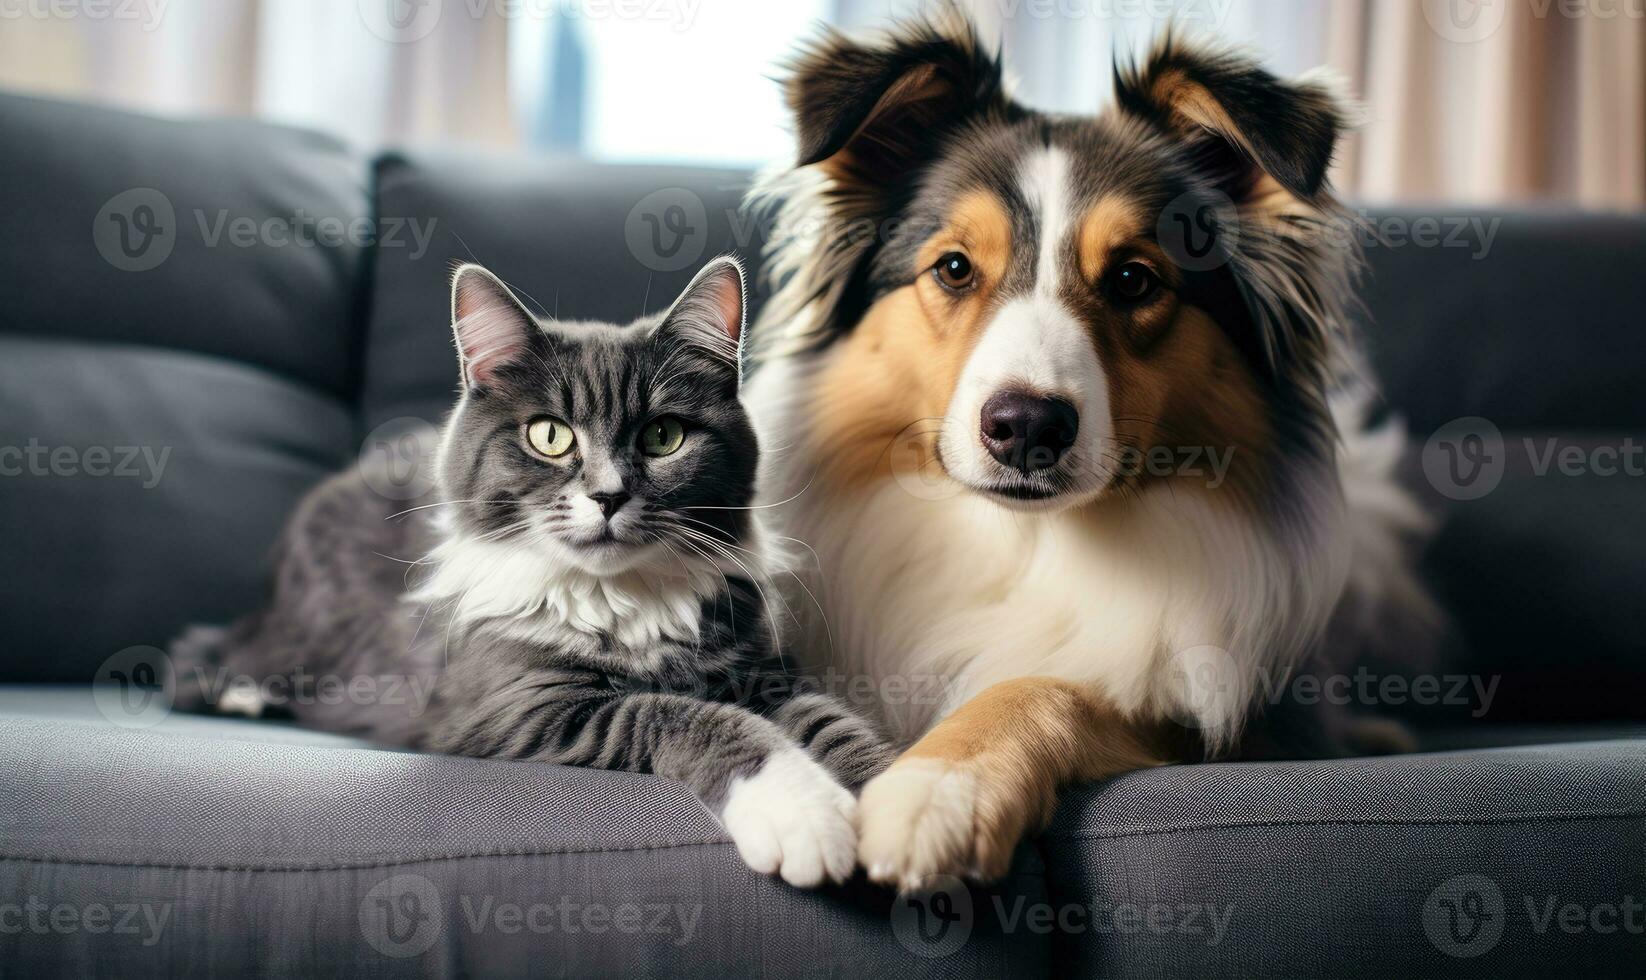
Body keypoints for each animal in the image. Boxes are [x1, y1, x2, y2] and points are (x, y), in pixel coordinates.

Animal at [172, 258, 895, 889]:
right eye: (550, 436)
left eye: (663, 437)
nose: (607, 496)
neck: (621, 600)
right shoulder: (526, 703)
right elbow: (687, 716)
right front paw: (805, 812)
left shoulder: (765, 671)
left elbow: (836, 724)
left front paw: (900, 811)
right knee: (201, 655)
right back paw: (243, 693)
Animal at [747, 13, 1441, 889]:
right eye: (953, 268)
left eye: (1136, 279)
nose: (1026, 426)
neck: (1028, 544)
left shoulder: (1230, 716)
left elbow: (1052, 686)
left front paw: (937, 789)